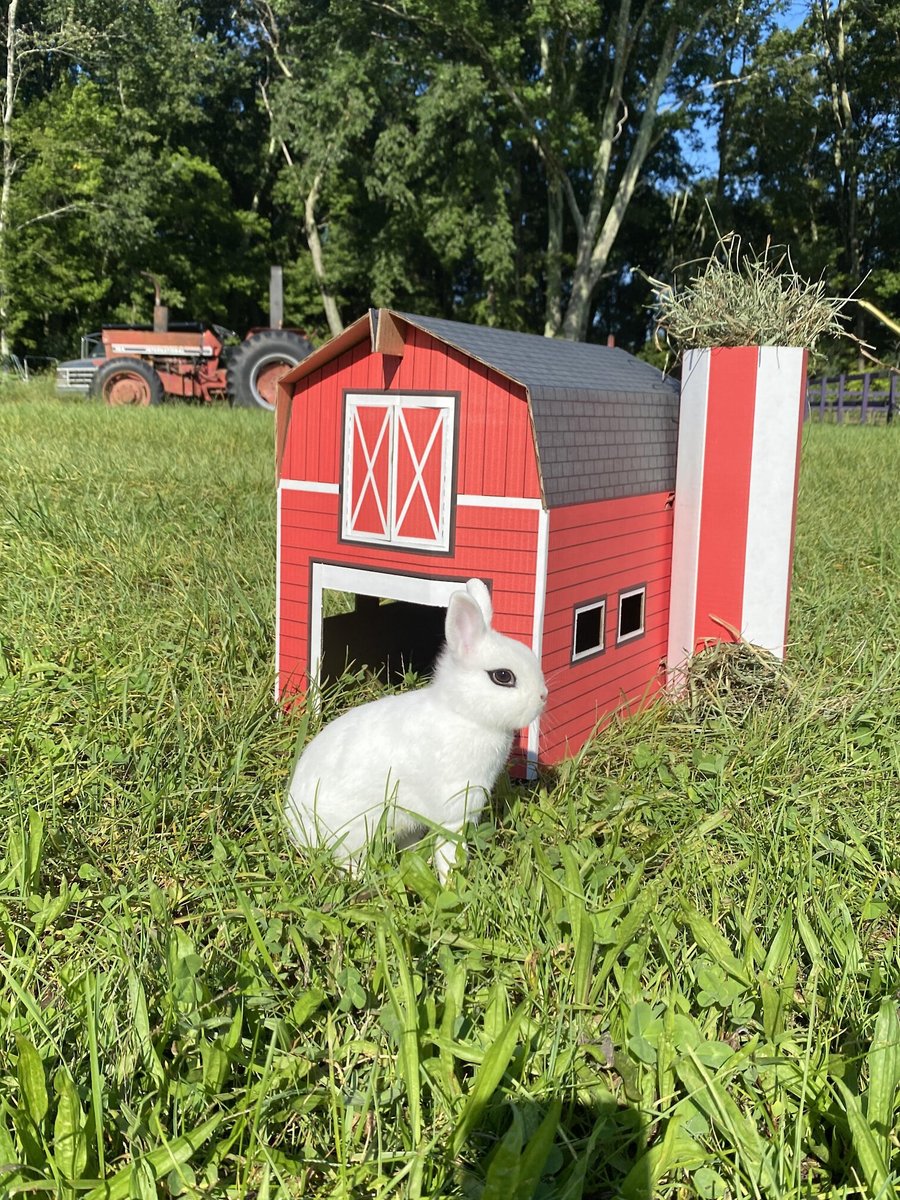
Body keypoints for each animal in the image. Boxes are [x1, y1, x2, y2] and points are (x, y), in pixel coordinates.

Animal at [285, 580, 547, 883]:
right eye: (503, 676)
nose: (543, 696)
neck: (462, 713)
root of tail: (295, 826)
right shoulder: (455, 808)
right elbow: (449, 849)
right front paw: (450, 882)